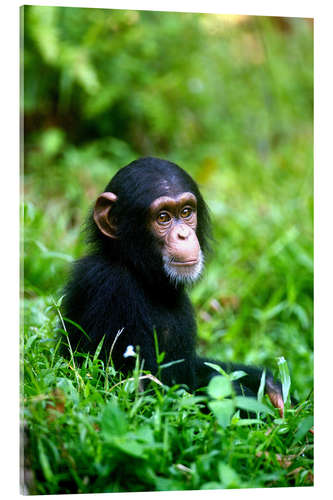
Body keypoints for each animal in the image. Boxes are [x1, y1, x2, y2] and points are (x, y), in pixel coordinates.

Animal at [61, 158, 282, 412]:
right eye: (163, 217)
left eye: (186, 212)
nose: (184, 234)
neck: (140, 274)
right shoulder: (111, 288)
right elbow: (144, 397)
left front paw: (270, 386)